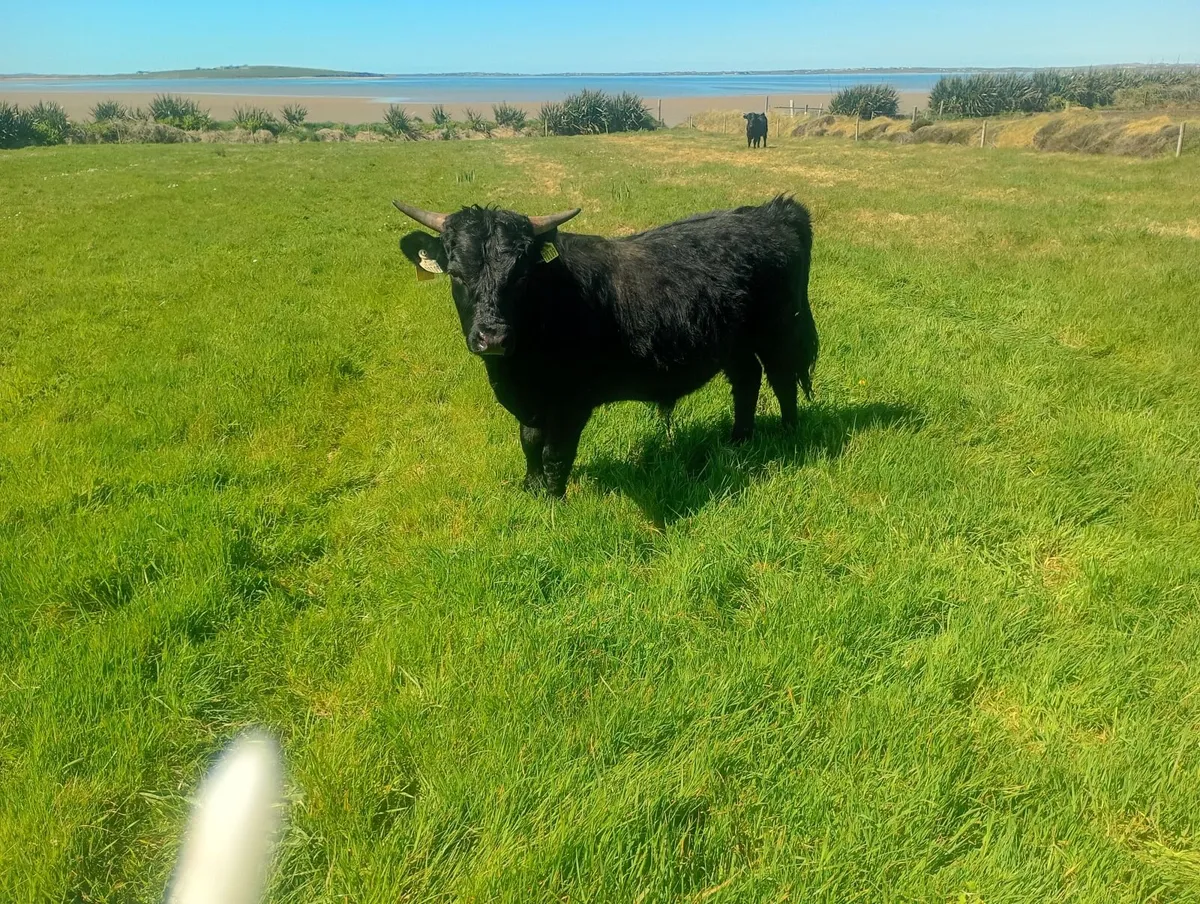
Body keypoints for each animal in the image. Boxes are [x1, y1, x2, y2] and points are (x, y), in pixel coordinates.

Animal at [393, 195, 818, 498]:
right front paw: (531, 488)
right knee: (747, 379)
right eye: (456, 274)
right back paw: (738, 440)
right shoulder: (530, 403)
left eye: (522, 274)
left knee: (782, 379)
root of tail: (772, 211)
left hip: (779, 329)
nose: (493, 337)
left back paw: (788, 435)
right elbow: (529, 441)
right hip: (734, 342)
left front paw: (553, 498)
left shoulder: (572, 402)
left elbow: (555, 452)